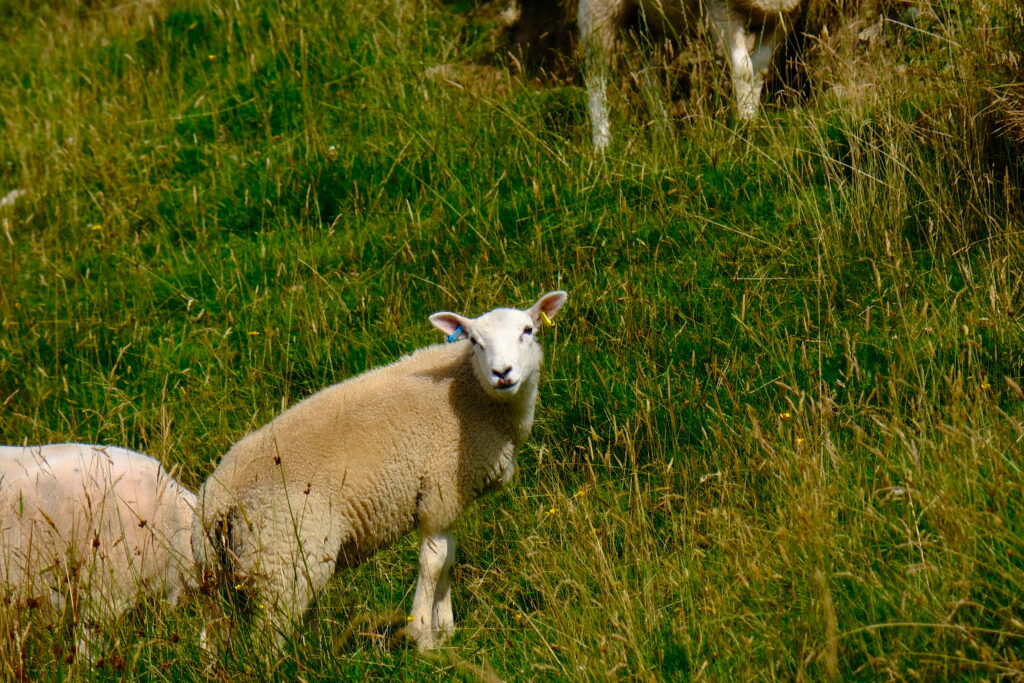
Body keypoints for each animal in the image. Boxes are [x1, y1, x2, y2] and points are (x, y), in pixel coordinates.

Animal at [192, 290, 569, 651]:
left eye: (528, 330)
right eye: (475, 341)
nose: (502, 373)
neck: (470, 392)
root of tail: (216, 499)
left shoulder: (447, 498)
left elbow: (448, 558)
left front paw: (445, 629)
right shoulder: (440, 491)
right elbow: (434, 562)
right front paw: (424, 638)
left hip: (219, 571)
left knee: (213, 631)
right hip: (283, 557)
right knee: (267, 640)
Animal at [577, 0, 806, 148]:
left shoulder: (781, 19)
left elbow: (759, 72)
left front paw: (752, 121)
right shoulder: (723, 12)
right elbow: (743, 70)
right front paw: (745, 126)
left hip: (654, 20)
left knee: (648, 76)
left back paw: (664, 133)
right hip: (600, 12)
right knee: (595, 76)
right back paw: (602, 142)